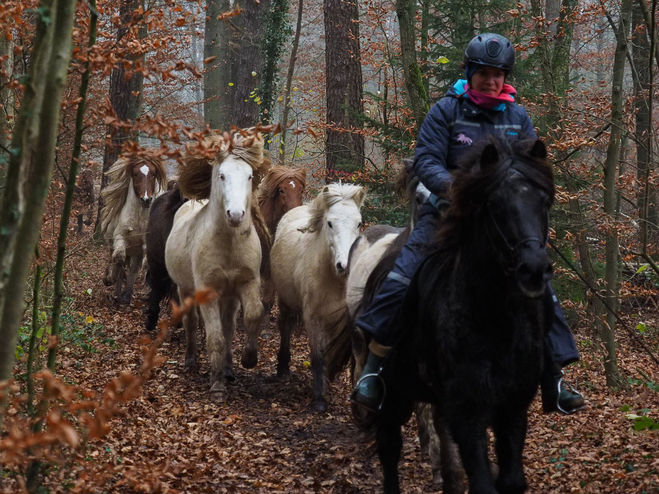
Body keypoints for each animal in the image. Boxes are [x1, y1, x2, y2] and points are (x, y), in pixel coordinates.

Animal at [101, 154, 168, 302]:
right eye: (135, 174)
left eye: (153, 173)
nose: (146, 200)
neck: (138, 218)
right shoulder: (120, 237)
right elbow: (119, 257)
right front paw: (110, 279)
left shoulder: (145, 245)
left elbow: (143, 265)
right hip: (114, 245)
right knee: (118, 261)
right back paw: (116, 290)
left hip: (137, 252)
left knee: (134, 269)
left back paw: (126, 295)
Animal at [166, 128, 272, 402]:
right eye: (221, 175)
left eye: (249, 176)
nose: (235, 215)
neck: (228, 245)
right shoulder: (207, 291)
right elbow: (215, 337)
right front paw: (216, 386)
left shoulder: (247, 282)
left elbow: (252, 316)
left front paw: (248, 359)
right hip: (186, 289)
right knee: (192, 323)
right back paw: (191, 362)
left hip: (230, 296)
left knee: (229, 326)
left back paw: (228, 369)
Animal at [270, 183, 368, 412]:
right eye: (330, 223)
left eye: (359, 223)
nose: (344, 266)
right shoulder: (314, 321)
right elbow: (318, 358)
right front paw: (319, 399)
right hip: (285, 302)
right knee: (285, 327)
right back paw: (283, 368)